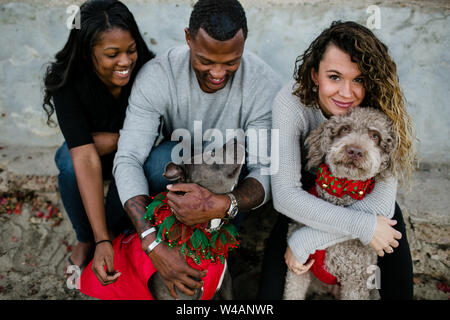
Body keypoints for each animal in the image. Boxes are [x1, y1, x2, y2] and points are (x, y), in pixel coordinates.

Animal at [284, 107, 398, 300]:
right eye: (345, 129)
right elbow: (292, 292)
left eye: (375, 136)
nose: (355, 151)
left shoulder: (355, 281)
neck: (339, 195)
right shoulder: (298, 270)